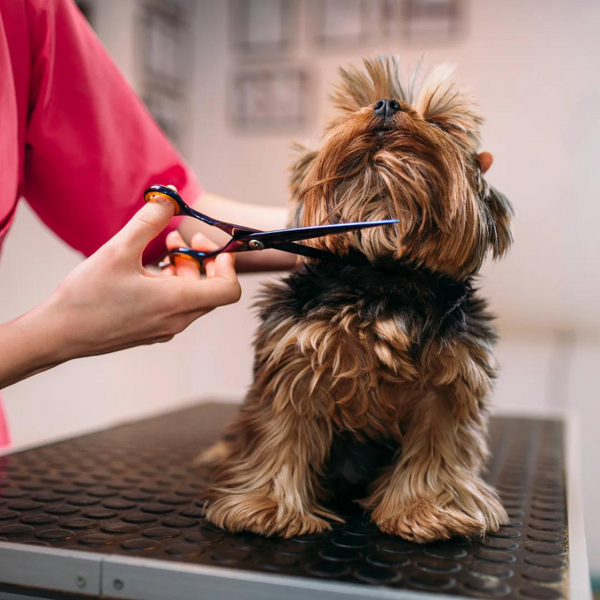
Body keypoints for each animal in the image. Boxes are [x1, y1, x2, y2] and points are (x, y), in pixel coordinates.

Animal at [199, 57, 512, 544]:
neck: (380, 275)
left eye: (440, 121)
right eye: (351, 109)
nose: (386, 104)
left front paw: (429, 508)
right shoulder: (295, 357)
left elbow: (438, 446)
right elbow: (280, 432)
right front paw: (266, 506)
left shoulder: (453, 378)